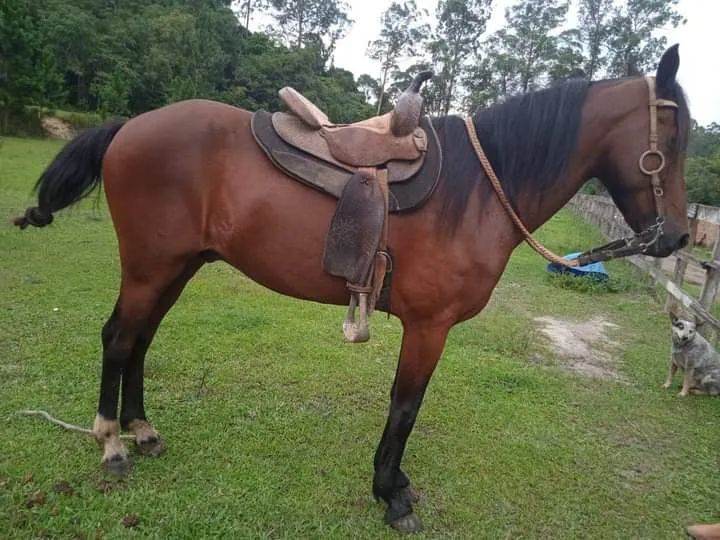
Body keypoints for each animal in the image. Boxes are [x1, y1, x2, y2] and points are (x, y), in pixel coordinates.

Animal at [14, 45, 689, 533]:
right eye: (675, 139)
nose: (680, 236)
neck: (478, 190)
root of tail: (131, 126)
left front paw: (393, 485)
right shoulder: (428, 326)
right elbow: (405, 406)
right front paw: (391, 495)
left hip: (178, 267)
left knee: (141, 340)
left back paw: (142, 431)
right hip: (151, 266)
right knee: (118, 337)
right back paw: (111, 445)